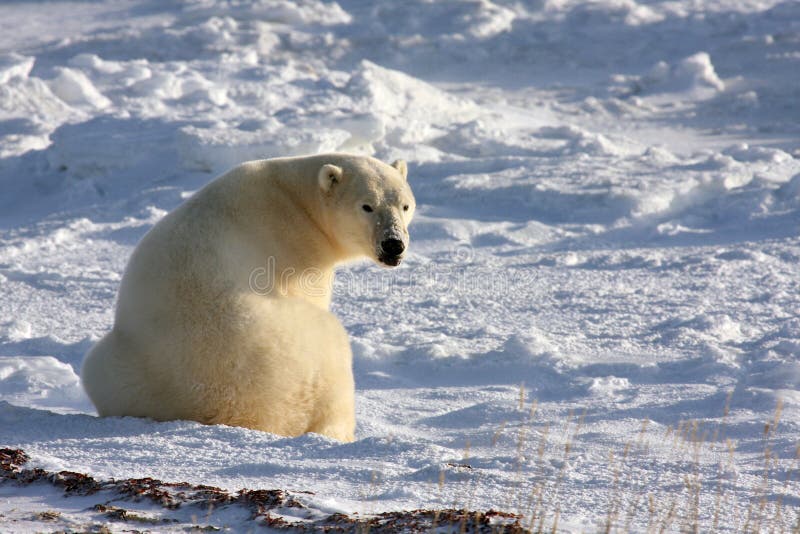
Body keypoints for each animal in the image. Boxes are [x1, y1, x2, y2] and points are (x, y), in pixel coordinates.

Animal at [81, 154, 416, 444]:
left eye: (405, 205)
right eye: (367, 206)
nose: (393, 244)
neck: (295, 198)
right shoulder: (295, 252)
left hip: (120, 367)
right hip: (300, 351)